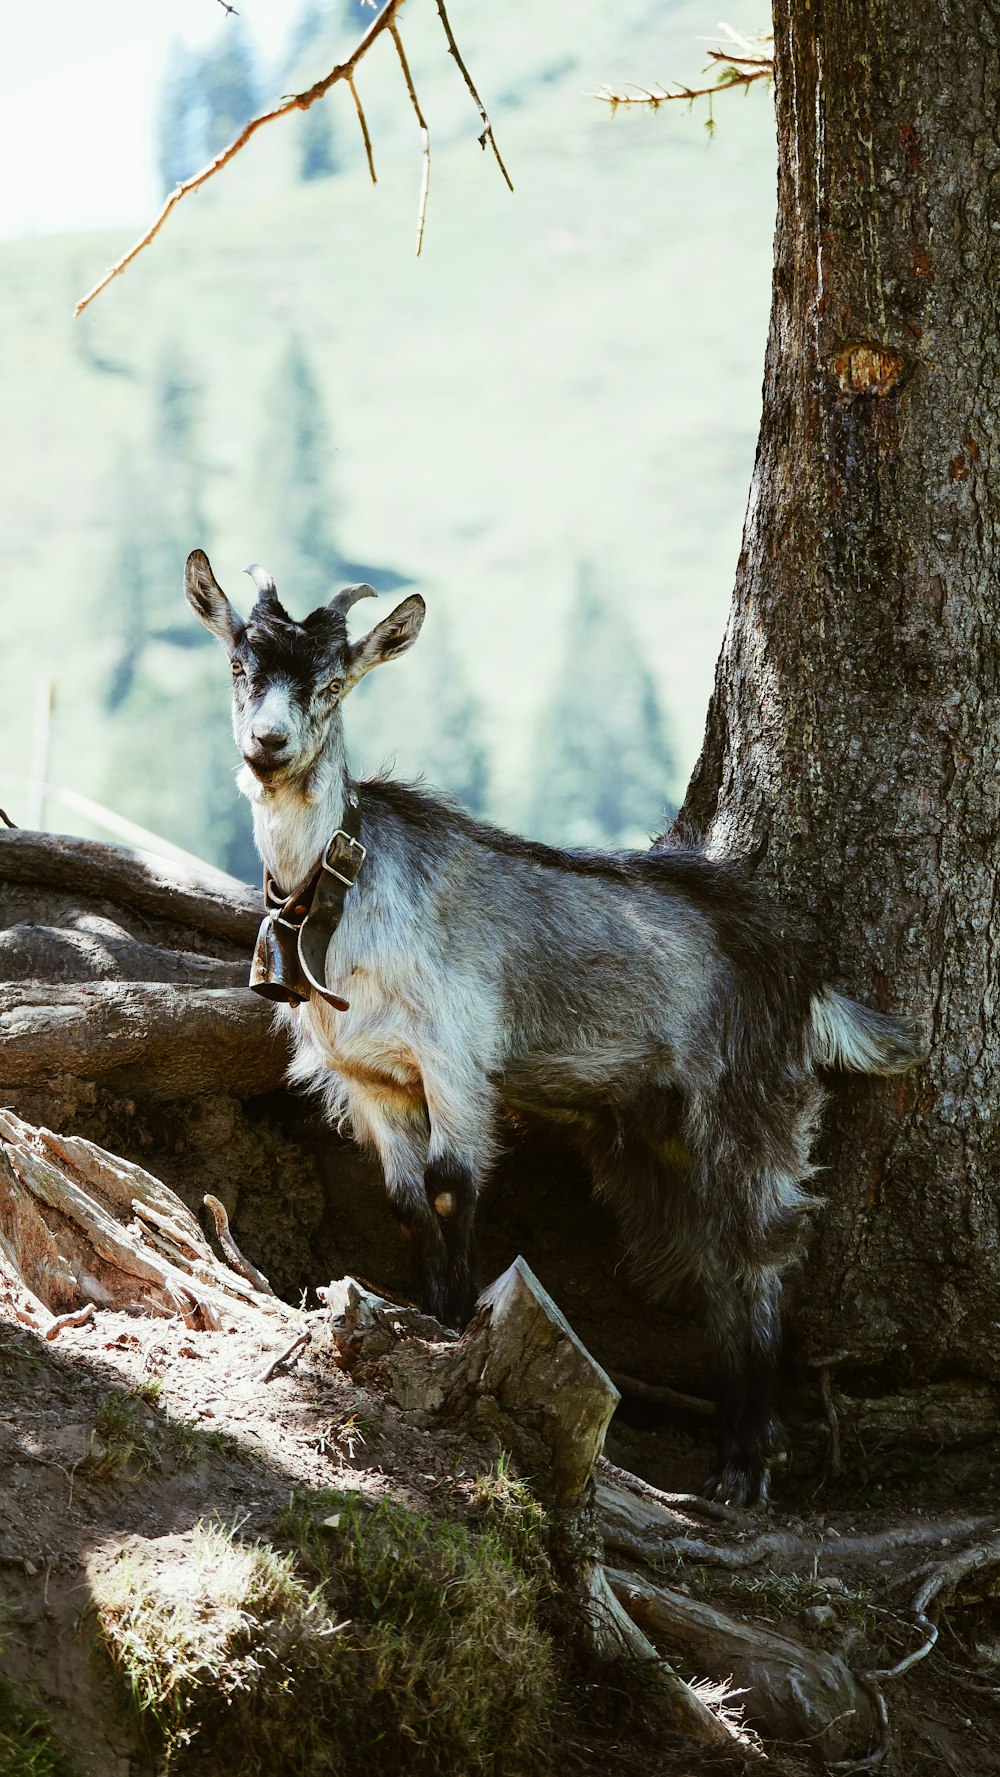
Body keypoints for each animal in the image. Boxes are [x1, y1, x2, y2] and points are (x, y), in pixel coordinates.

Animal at [185, 548, 921, 1505]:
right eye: (240, 666)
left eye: (333, 683)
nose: (267, 745)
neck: (347, 890)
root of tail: (805, 973)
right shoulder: (369, 1076)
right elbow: (406, 1200)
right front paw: (431, 1313)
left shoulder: (456, 1054)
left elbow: (453, 1183)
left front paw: (458, 1324)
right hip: (659, 1126)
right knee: (711, 1255)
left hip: (753, 1096)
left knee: (756, 1250)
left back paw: (746, 1465)